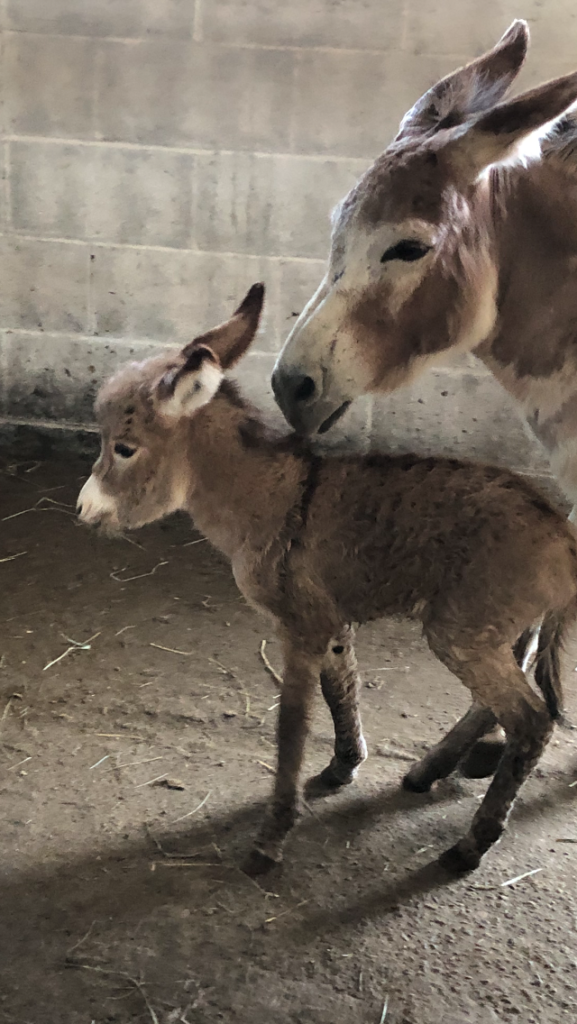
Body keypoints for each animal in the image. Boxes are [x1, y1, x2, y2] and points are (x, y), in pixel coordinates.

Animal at [78, 286, 577, 872]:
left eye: (124, 448)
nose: (83, 509)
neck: (269, 497)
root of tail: (561, 535)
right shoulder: (331, 621)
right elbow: (340, 689)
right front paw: (343, 766)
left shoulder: (301, 626)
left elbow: (292, 724)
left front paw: (272, 835)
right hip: (502, 631)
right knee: (495, 706)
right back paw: (429, 772)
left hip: (463, 629)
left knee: (531, 720)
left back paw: (471, 843)